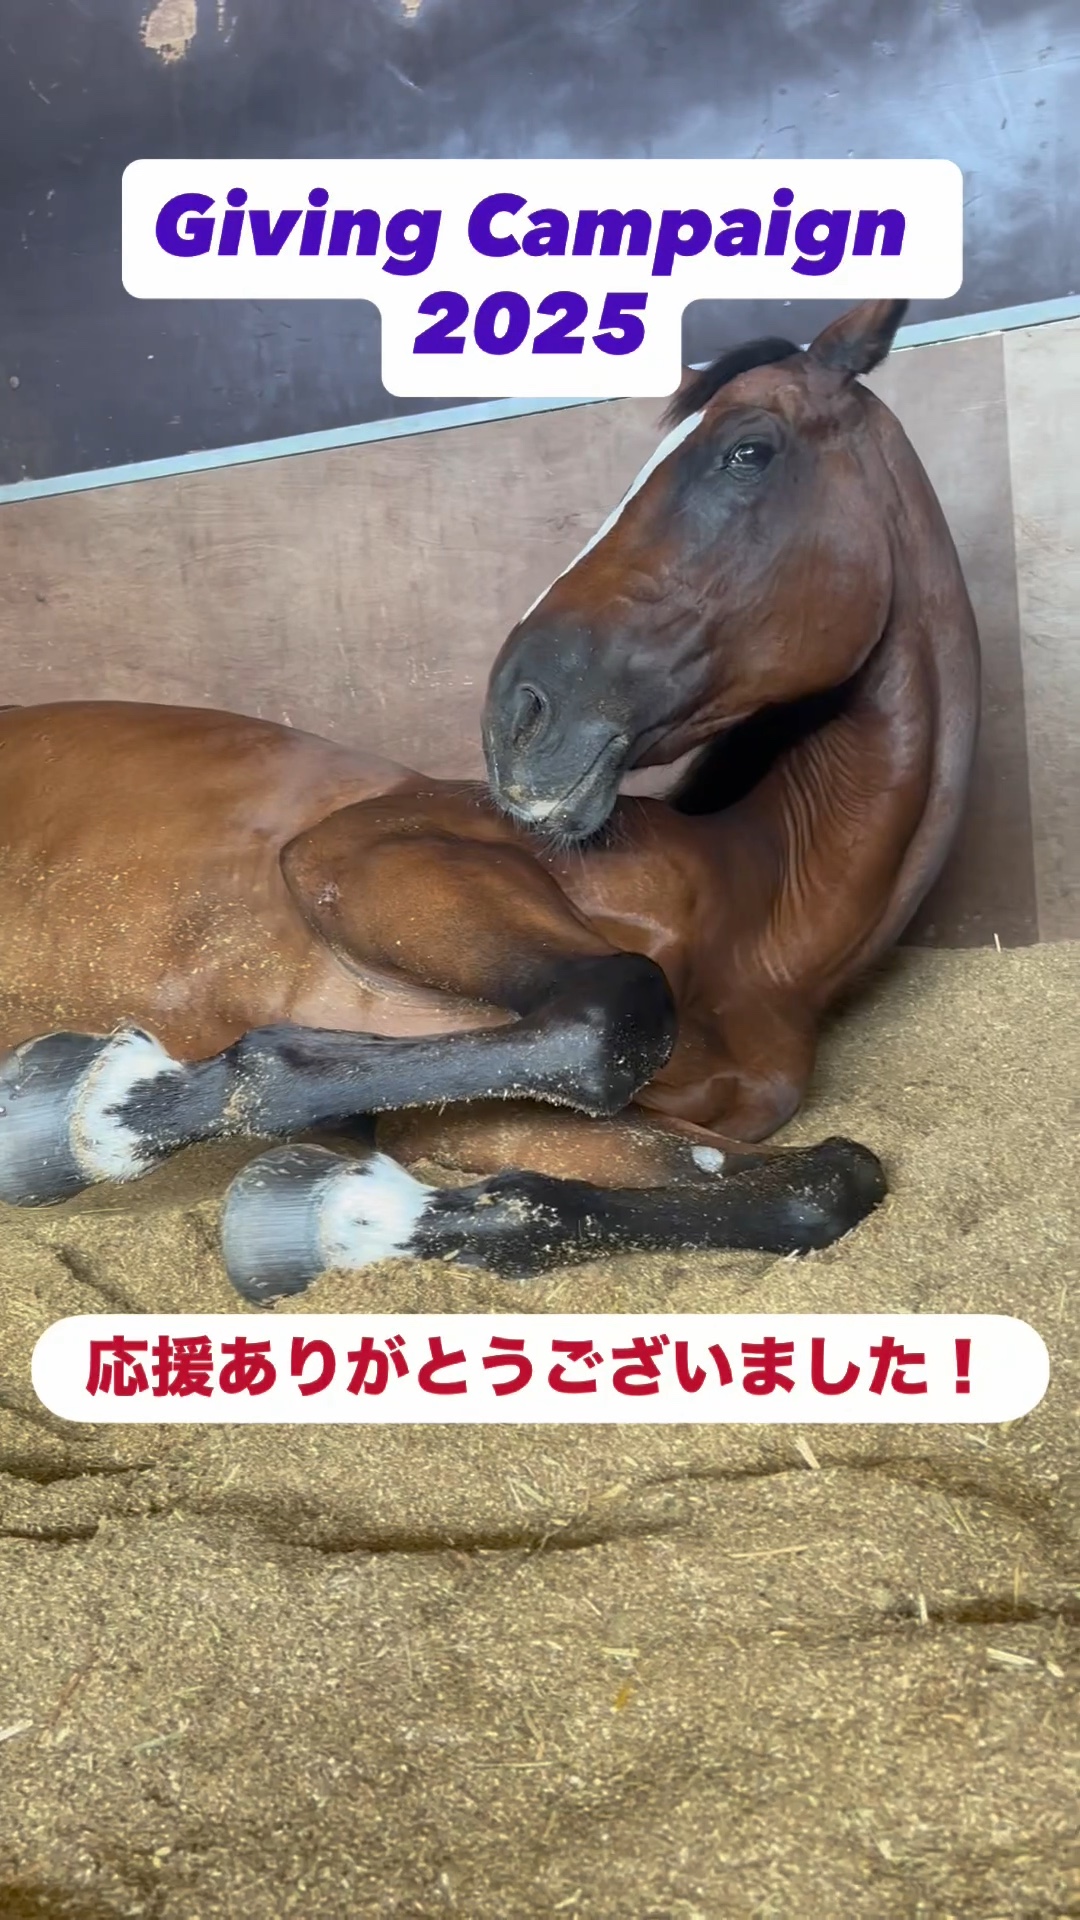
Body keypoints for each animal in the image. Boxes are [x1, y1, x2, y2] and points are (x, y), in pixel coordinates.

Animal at [0, 298, 979, 1302]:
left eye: (747, 452)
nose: (515, 714)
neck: (753, 914)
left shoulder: (508, 1118)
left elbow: (822, 1179)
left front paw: (341, 1217)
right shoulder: (366, 859)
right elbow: (610, 1014)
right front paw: (105, 1108)